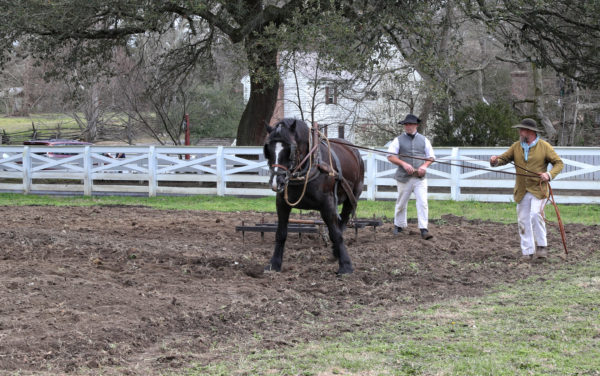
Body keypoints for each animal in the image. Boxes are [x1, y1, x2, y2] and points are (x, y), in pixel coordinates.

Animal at [264, 119, 366, 274]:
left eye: (290, 150)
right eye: (268, 150)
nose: (277, 182)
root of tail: (355, 152)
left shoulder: (328, 204)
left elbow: (335, 234)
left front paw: (346, 266)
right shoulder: (282, 203)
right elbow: (281, 233)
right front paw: (274, 264)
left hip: (351, 197)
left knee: (343, 222)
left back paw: (337, 252)